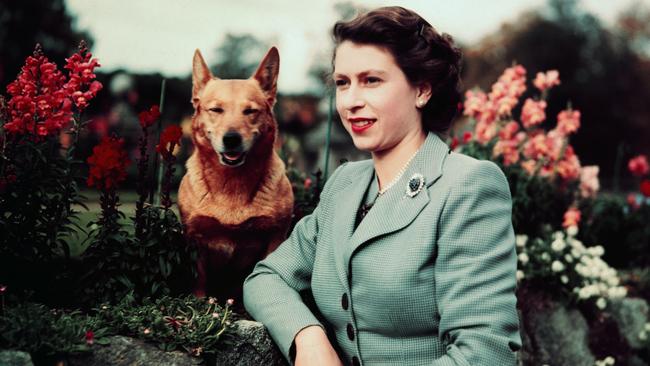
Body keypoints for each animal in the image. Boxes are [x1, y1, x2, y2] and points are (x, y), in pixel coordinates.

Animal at [180, 46, 294, 304]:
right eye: (216, 110)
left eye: (250, 111)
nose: (231, 139)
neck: (232, 184)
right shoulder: (195, 238)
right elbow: (199, 280)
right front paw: (198, 305)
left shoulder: (275, 236)